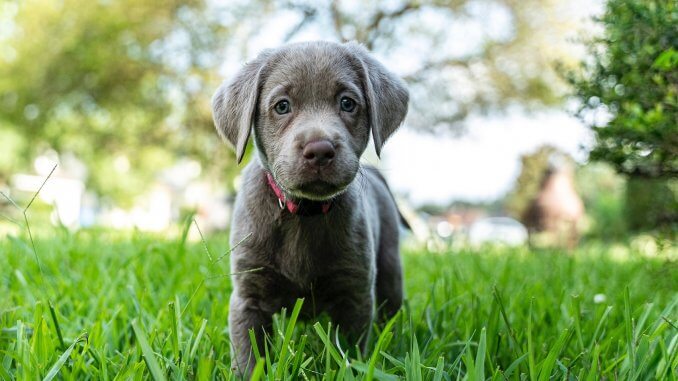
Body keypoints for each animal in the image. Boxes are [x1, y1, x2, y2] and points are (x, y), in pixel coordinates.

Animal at [212, 40, 410, 372]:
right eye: (282, 106)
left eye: (347, 103)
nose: (319, 150)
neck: (305, 213)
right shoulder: (248, 296)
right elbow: (249, 355)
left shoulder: (354, 293)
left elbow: (348, 353)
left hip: (390, 267)